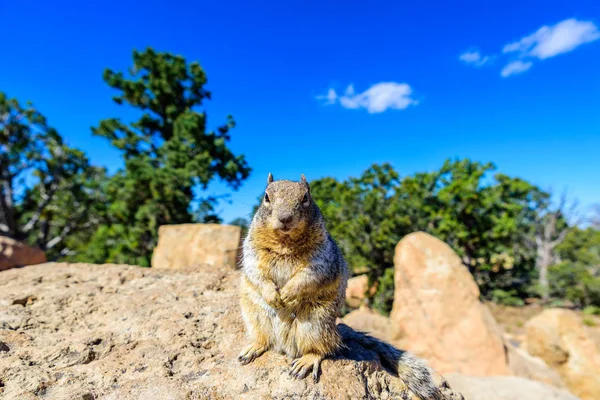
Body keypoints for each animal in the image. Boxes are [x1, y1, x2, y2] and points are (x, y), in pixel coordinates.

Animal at [237, 173, 442, 398]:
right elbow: (255, 270)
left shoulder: (322, 258)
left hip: (315, 324)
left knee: (323, 349)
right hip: (255, 316)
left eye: (306, 197)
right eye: (266, 197)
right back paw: (253, 348)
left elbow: (310, 275)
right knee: (265, 340)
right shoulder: (252, 249)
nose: (285, 218)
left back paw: (306, 361)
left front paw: (289, 293)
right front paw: (273, 294)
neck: (285, 241)